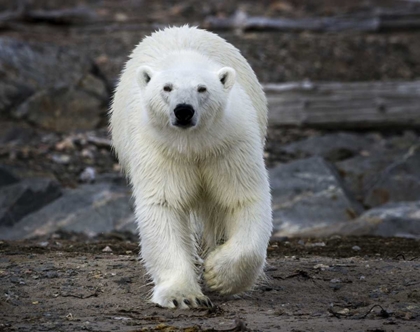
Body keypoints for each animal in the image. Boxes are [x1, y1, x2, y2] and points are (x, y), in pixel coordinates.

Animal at [109, 26, 272, 308]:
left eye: (202, 88)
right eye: (167, 87)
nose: (183, 111)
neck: (193, 145)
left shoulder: (228, 145)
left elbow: (243, 198)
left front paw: (218, 274)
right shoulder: (161, 149)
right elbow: (164, 204)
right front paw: (183, 296)